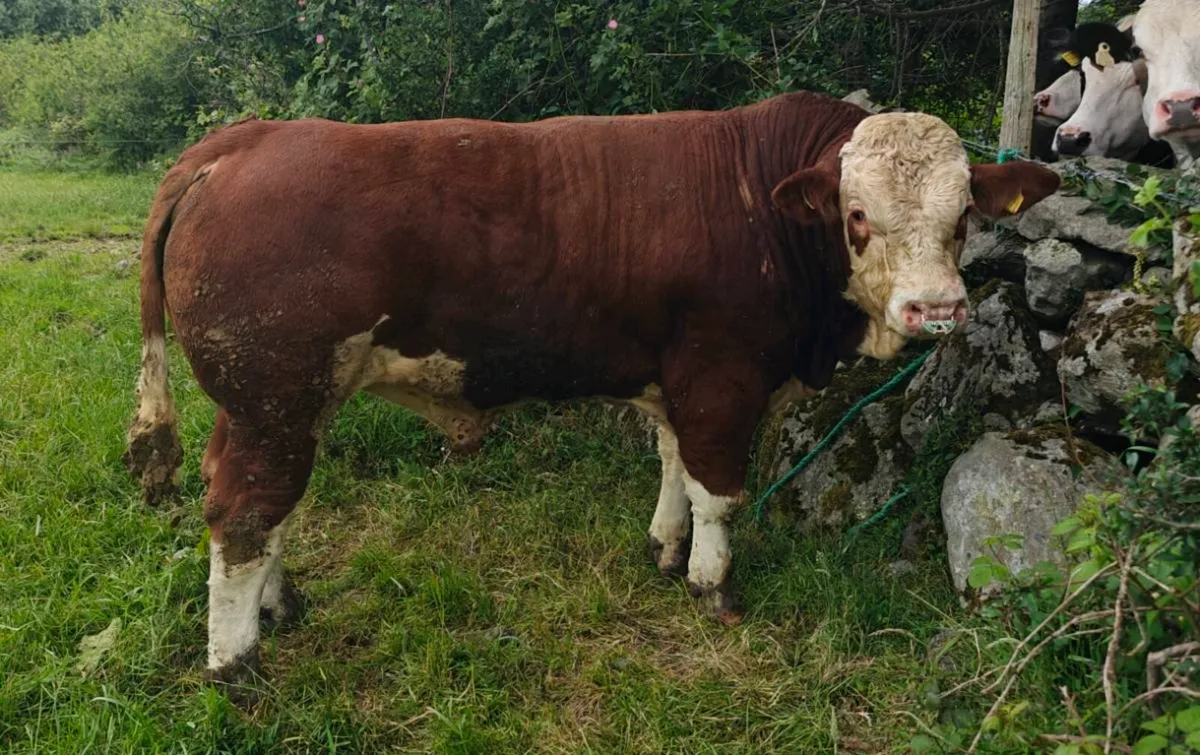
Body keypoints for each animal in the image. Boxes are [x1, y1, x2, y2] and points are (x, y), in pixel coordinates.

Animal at [123, 91, 1060, 687]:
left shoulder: (677, 375)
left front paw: (666, 548)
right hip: (273, 398)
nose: (937, 307)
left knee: (265, 508)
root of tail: (237, 143)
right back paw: (236, 662)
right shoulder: (722, 374)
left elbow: (675, 464)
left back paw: (280, 607)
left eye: (965, 214)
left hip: (276, 406)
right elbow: (719, 490)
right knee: (244, 513)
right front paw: (714, 585)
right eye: (857, 214)